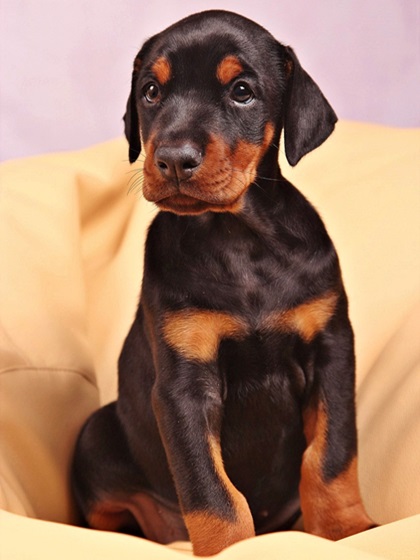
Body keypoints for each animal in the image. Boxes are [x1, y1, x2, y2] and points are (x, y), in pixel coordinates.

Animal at [71, 9, 374, 556]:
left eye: (241, 91)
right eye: (151, 91)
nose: (173, 158)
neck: (236, 237)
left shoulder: (332, 349)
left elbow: (332, 456)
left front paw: (346, 530)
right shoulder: (184, 383)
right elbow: (211, 492)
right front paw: (231, 547)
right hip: (97, 430)